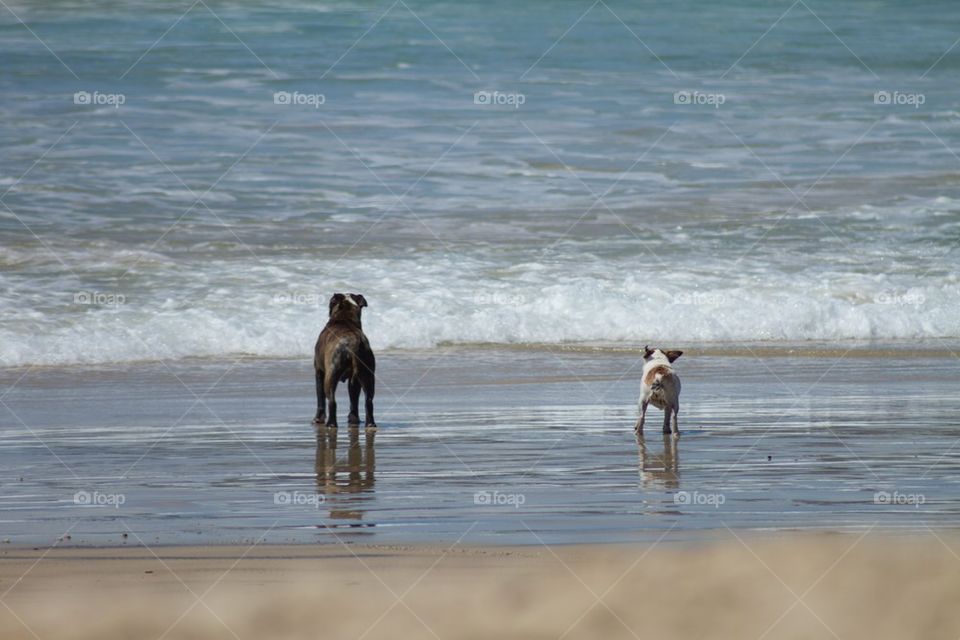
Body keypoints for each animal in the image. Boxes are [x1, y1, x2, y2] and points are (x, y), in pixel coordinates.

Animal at [316, 296, 376, 430]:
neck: (344, 318)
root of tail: (355, 343)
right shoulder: (355, 380)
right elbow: (354, 398)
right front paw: (353, 418)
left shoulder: (319, 371)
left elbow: (320, 396)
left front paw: (317, 419)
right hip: (368, 374)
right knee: (368, 400)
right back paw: (369, 423)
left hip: (331, 374)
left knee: (331, 400)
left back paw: (331, 424)